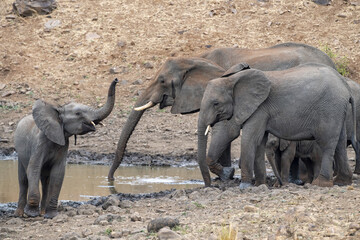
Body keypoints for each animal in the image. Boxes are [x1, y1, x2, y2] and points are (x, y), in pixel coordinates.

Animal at [13, 79, 118, 219]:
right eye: (78, 113)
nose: (116, 80)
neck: (58, 110)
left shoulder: (63, 145)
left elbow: (58, 174)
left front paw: (51, 215)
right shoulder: (39, 143)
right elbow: (33, 168)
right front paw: (31, 214)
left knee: (45, 180)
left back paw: (43, 213)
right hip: (20, 153)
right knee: (23, 179)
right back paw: (19, 215)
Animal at [107, 42, 338, 182]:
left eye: (162, 81)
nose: (110, 180)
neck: (197, 58)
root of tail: (332, 64)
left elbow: (225, 130)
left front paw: (225, 175)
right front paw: (225, 176)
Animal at [198, 62, 356, 188]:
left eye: (215, 103)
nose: (210, 186)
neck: (233, 80)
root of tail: (345, 85)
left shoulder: (260, 108)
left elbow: (250, 139)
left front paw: (245, 186)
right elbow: (260, 142)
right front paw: (260, 185)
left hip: (329, 109)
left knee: (327, 143)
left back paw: (321, 184)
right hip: (338, 110)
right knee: (340, 143)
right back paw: (342, 182)